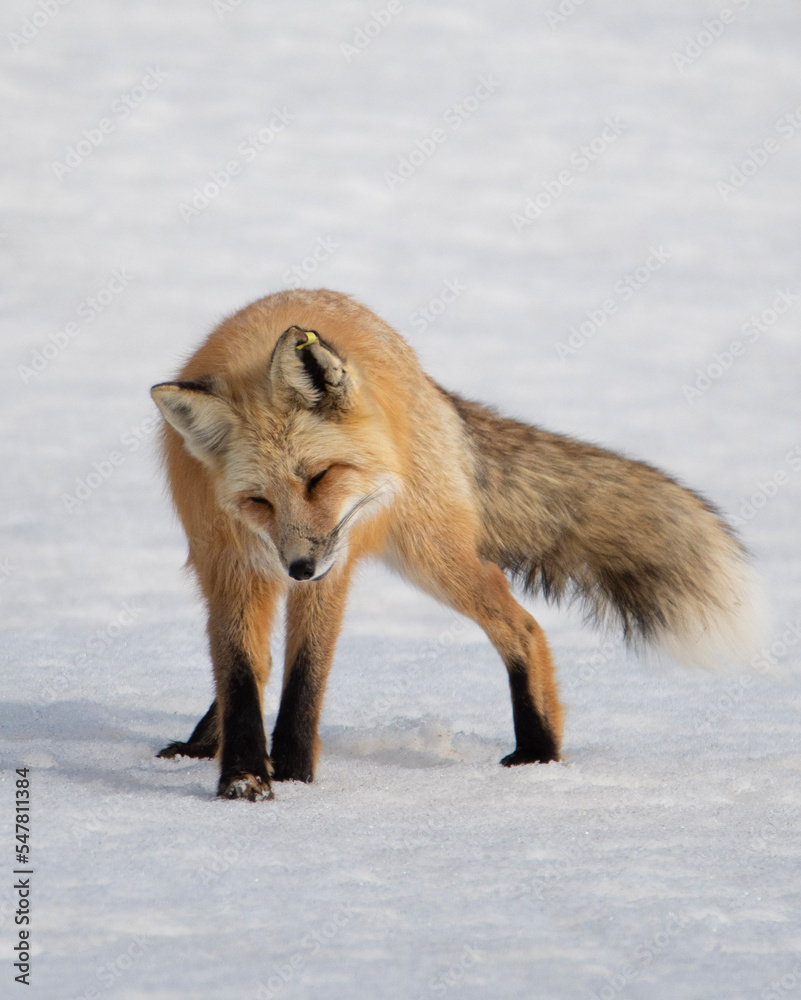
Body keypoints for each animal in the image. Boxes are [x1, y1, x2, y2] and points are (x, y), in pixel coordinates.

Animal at [151, 288, 765, 801]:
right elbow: (239, 670)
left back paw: (538, 751)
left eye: (320, 478)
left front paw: (295, 774)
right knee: (258, 662)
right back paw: (203, 742)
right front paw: (244, 777)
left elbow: (306, 677)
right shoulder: (230, 562)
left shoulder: (334, 566)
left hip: (429, 555)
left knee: (523, 625)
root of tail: (425, 379)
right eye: (259, 501)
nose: (299, 567)